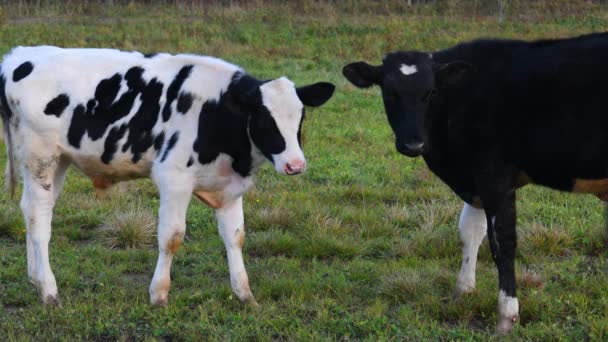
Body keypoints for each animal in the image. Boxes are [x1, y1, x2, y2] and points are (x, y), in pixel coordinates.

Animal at [0, 46, 334, 308]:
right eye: (265, 119)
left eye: (301, 117)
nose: (295, 164)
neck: (214, 113)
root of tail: (19, 55)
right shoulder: (174, 179)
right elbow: (171, 237)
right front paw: (158, 295)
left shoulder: (229, 187)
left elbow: (236, 237)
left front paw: (245, 294)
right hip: (41, 157)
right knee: (39, 217)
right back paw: (49, 291)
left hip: (59, 161)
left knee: (31, 210)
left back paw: (35, 279)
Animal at [344, 32, 608, 334]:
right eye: (389, 92)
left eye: (430, 93)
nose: (413, 144)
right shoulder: (476, 181)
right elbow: (470, 230)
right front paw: (463, 291)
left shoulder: (495, 180)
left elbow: (502, 243)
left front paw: (506, 316)